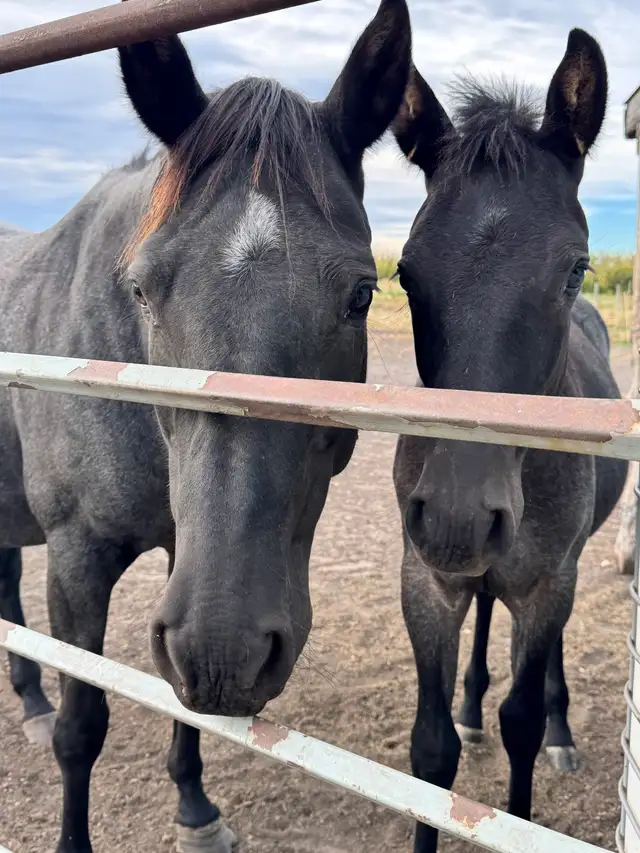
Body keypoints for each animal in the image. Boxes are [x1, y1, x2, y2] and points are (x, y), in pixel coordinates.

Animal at [0, 1, 412, 850]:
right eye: (142, 289)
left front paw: (195, 808)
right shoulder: (76, 560)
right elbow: (83, 729)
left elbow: (185, 711)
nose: (227, 651)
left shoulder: (182, 561)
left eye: (362, 293)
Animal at [389, 27, 627, 852]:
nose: (457, 515)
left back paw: (561, 729)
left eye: (576, 269)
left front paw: (535, 751)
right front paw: (456, 717)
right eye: (405, 271)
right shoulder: (428, 581)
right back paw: (470, 702)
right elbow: (430, 751)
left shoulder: (547, 582)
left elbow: (520, 721)